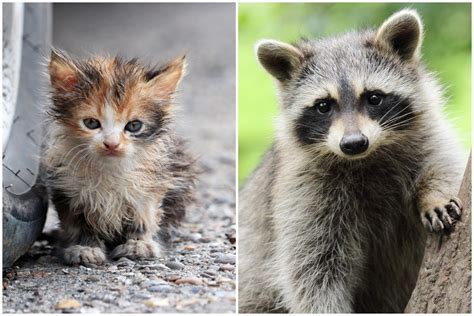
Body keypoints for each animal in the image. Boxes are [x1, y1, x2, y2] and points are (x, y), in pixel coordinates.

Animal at [42, 49, 194, 266]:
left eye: (134, 126)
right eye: (91, 123)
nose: (112, 144)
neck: (109, 168)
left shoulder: (150, 185)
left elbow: (144, 218)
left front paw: (139, 245)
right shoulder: (68, 189)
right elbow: (78, 224)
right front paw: (85, 248)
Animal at [239, 8, 464, 312]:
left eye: (374, 98)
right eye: (323, 106)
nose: (354, 143)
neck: (367, 158)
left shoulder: (426, 136)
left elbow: (445, 163)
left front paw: (435, 195)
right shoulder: (303, 190)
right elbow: (313, 267)